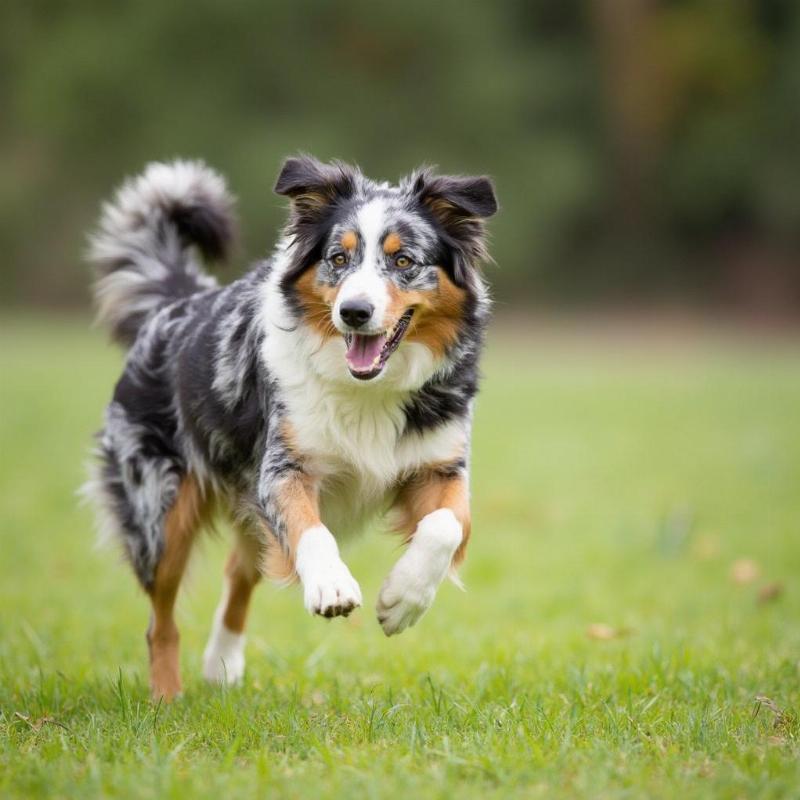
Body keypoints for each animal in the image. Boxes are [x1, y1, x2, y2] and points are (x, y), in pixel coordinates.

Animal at [87, 155, 496, 692]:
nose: (354, 312)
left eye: (405, 261)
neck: (369, 389)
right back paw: (166, 698)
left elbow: (444, 527)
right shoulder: (281, 469)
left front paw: (401, 601)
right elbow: (312, 531)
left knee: (239, 571)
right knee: (162, 619)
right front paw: (332, 585)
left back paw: (222, 664)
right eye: (338, 259)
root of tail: (176, 306)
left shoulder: (441, 467)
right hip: (160, 509)